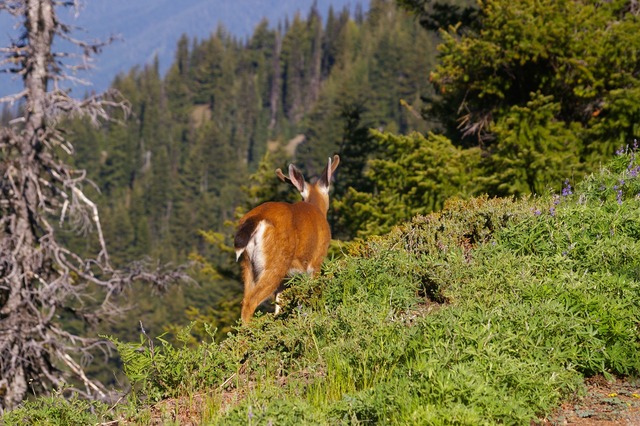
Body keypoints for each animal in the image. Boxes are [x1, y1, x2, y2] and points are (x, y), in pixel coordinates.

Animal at [235, 156, 340, 322]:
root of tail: (257, 218)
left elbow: (279, 303)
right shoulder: (317, 261)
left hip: (248, 264)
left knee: (245, 298)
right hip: (276, 261)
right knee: (250, 301)